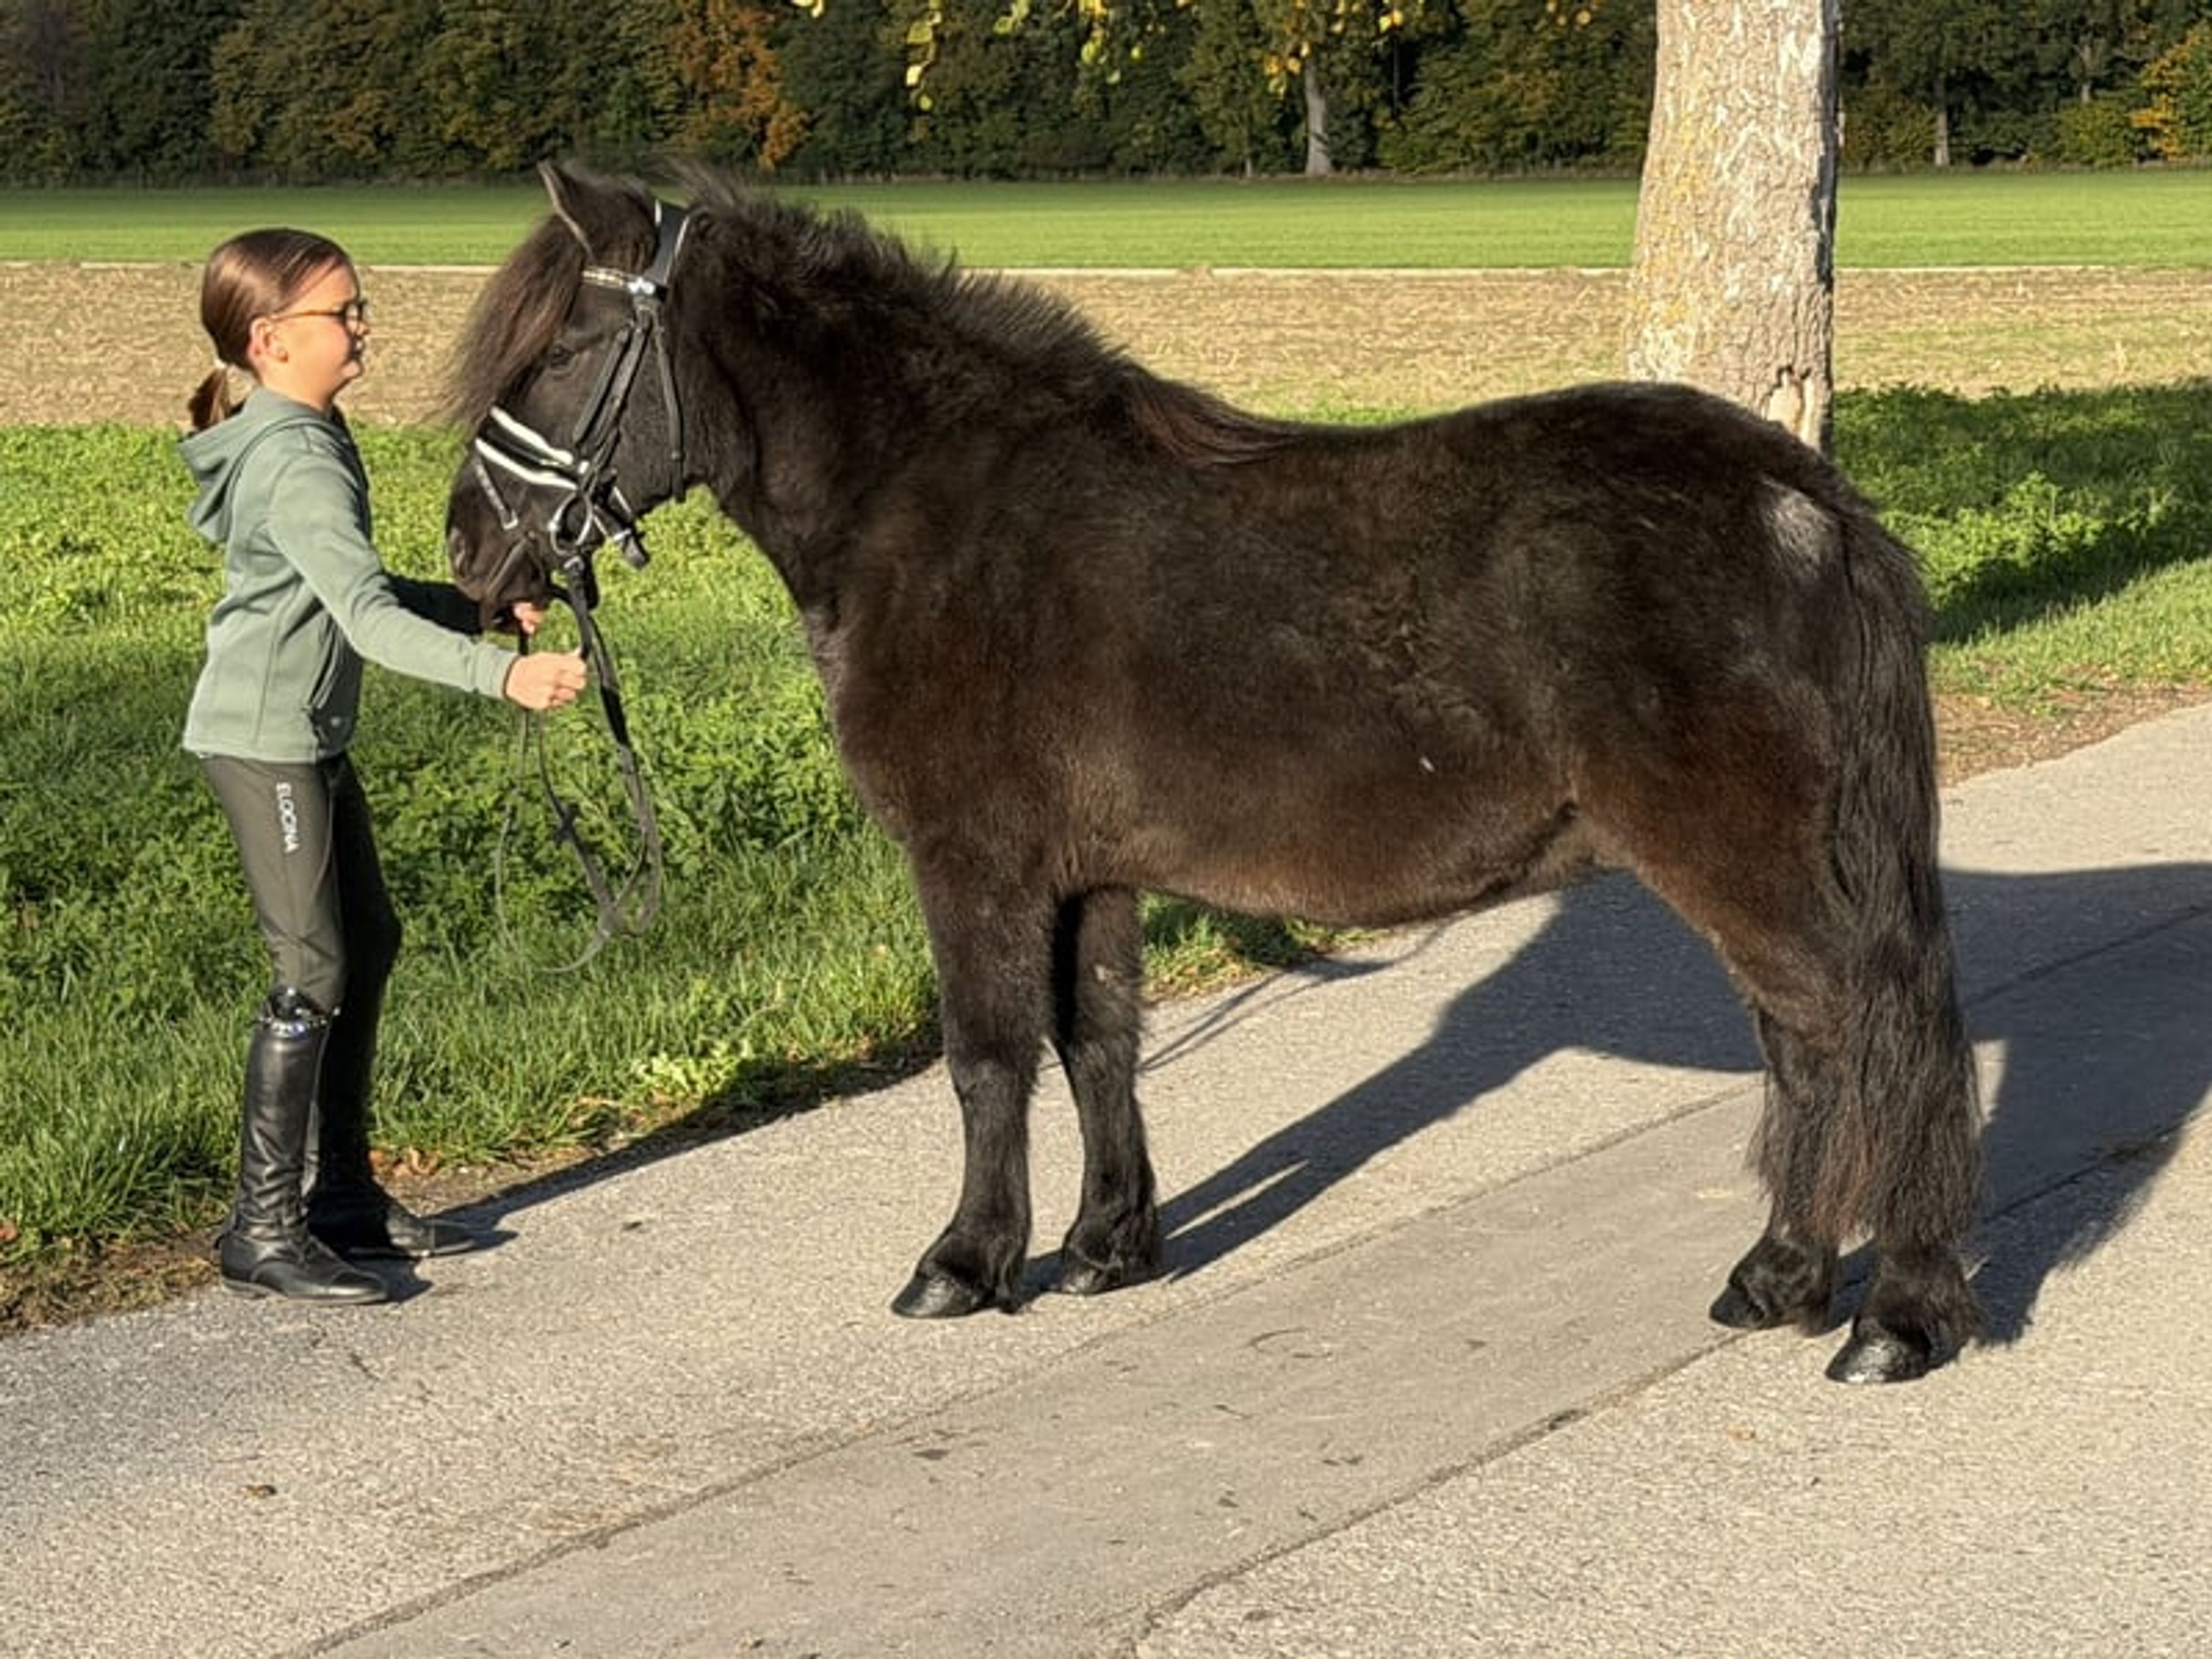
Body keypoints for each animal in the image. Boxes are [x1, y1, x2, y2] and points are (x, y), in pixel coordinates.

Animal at [443, 163, 1983, 1385]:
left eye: (566, 345)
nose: (470, 553)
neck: (935, 512)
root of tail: (1799, 498)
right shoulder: (1090, 874)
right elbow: (1097, 1043)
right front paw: (1105, 1244)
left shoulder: (972, 862)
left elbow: (987, 1059)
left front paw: (965, 1262)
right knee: (1807, 1044)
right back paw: (1779, 1279)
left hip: (1745, 854)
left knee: (1870, 1032)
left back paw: (1892, 1318)